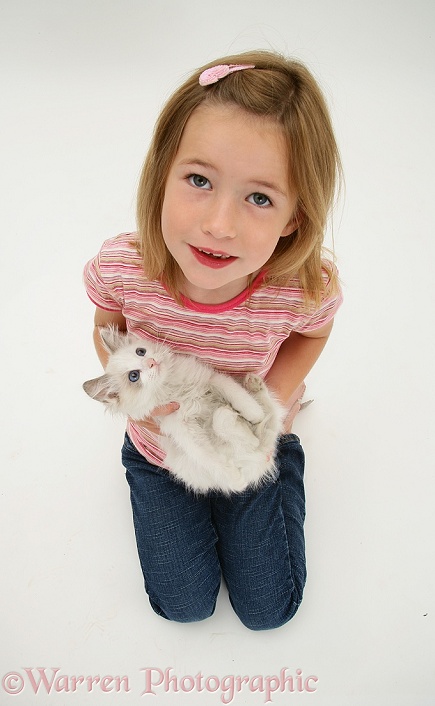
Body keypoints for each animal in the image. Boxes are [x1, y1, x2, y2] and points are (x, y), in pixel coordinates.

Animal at [84, 328, 286, 492]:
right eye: (134, 376)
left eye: (140, 351)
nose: (151, 362)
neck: (172, 387)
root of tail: (260, 456)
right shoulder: (184, 431)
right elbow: (210, 458)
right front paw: (236, 481)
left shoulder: (212, 379)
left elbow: (239, 397)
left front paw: (254, 413)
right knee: (234, 425)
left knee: (267, 417)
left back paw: (254, 387)